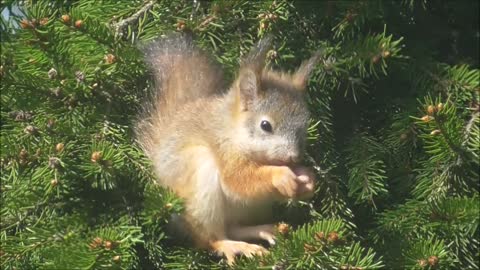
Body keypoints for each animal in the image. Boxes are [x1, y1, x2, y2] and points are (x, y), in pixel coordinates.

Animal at [135, 33, 320, 264]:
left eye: (304, 127)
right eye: (265, 125)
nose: (293, 157)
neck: (234, 131)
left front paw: (307, 179)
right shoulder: (224, 150)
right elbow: (237, 179)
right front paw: (281, 175)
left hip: (249, 208)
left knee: (233, 227)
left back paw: (261, 231)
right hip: (199, 187)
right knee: (209, 238)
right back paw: (231, 246)